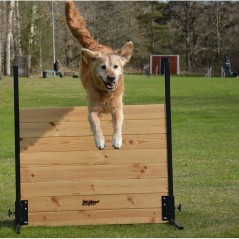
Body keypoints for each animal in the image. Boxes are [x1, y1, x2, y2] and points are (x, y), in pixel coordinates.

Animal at [64, 1, 134, 149]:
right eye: (103, 67)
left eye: (116, 67)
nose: (111, 77)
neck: (105, 92)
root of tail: (94, 44)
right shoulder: (92, 110)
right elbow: (96, 125)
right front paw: (100, 140)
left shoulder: (117, 107)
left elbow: (118, 124)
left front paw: (117, 140)